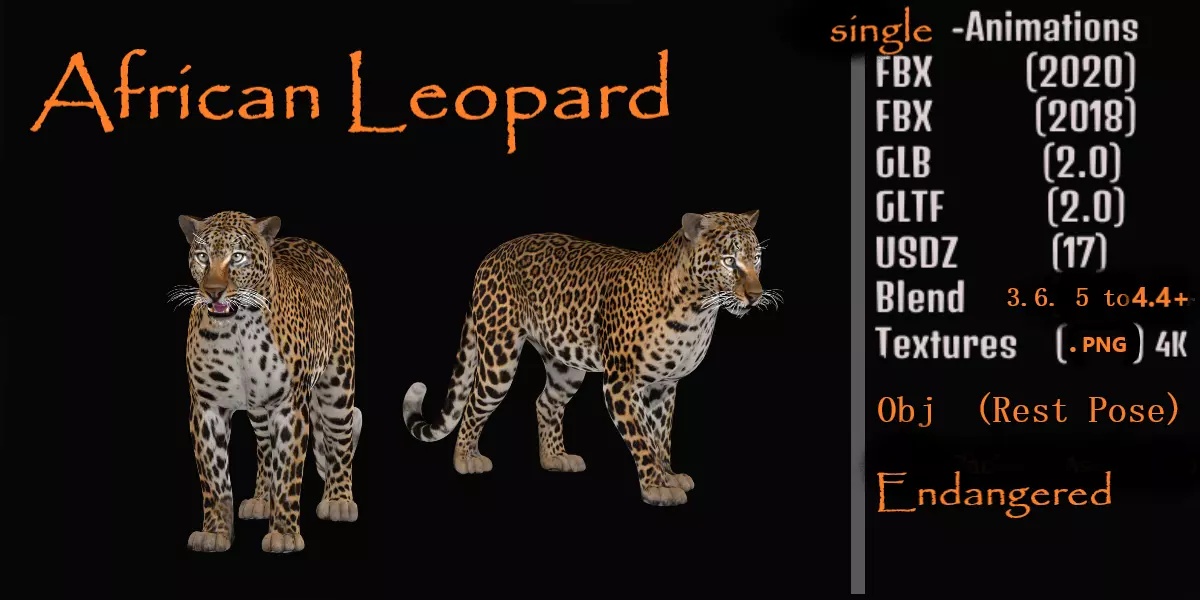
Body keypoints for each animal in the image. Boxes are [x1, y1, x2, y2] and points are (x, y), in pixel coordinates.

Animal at [173, 211, 363, 553]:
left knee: (340, 440)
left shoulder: (290, 407)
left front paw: (285, 534)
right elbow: (214, 478)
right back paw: (262, 499)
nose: (214, 291)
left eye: (237, 257)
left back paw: (339, 500)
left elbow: (288, 472)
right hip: (260, 411)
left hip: (338, 382)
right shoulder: (207, 407)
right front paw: (214, 533)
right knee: (265, 450)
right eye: (202, 256)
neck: (236, 328)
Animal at [402, 210, 781, 506]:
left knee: (545, 402)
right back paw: (466, 459)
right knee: (474, 402)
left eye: (756, 259)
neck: (699, 310)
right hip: (499, 354)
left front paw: (668, 475)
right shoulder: (621, 383)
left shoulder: (665, 385)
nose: (755, 295)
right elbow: (642, 438)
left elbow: (661, 435)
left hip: (564, 365)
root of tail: (490, 256)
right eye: (729, 261)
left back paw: (555, 458)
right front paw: (656, 487)